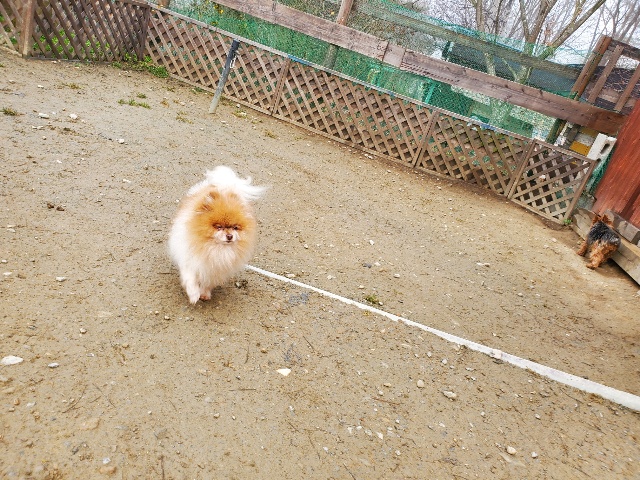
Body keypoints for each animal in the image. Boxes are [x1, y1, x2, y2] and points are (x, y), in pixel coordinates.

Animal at [168, 166, 266, 304]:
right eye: (219, 227)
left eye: (235, 228)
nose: (229, 236)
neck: (216, 249)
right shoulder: (190, 259)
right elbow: (190, 279)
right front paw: (193, 294)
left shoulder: (215, 271)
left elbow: (208, 283)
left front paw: (204, 293)